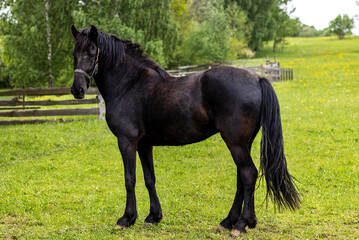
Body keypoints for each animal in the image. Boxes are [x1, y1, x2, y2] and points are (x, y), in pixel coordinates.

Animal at [70, 25, 300, 237]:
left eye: (92, 52)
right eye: (74, 53)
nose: (77, 90)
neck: (129, 85)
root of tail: (257, 79)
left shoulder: (127, 141)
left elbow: (130, 179)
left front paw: (127, 218)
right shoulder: (144, 144)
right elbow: (149, 178)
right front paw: (153, 216)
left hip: (235, 142)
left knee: (248, 174)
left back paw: (241, 224)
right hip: (243, 143)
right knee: (241, 178)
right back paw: (229, 221)